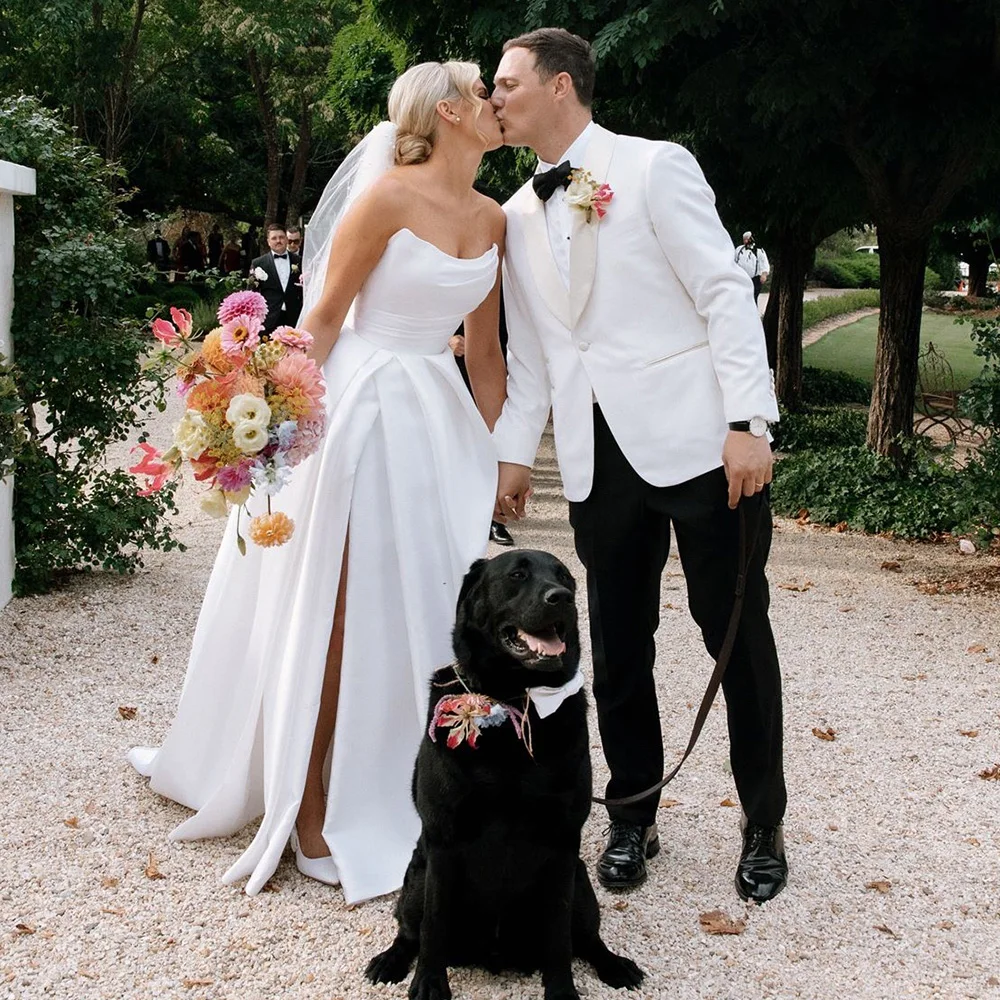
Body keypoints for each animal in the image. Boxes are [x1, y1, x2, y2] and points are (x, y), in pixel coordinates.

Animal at [366, 552, 640, 996]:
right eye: (517, 575)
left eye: (566, 577)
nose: (561, 597)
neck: (512, 701)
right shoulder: (443, 840)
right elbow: (433, 926)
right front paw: (429, 984)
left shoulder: (563, 842)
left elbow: (558, 936)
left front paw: (562, 991)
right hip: (418, 877)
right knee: (410, 931)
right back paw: (390, 961)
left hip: (581, 882)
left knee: (586, 938)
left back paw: (614, 965)